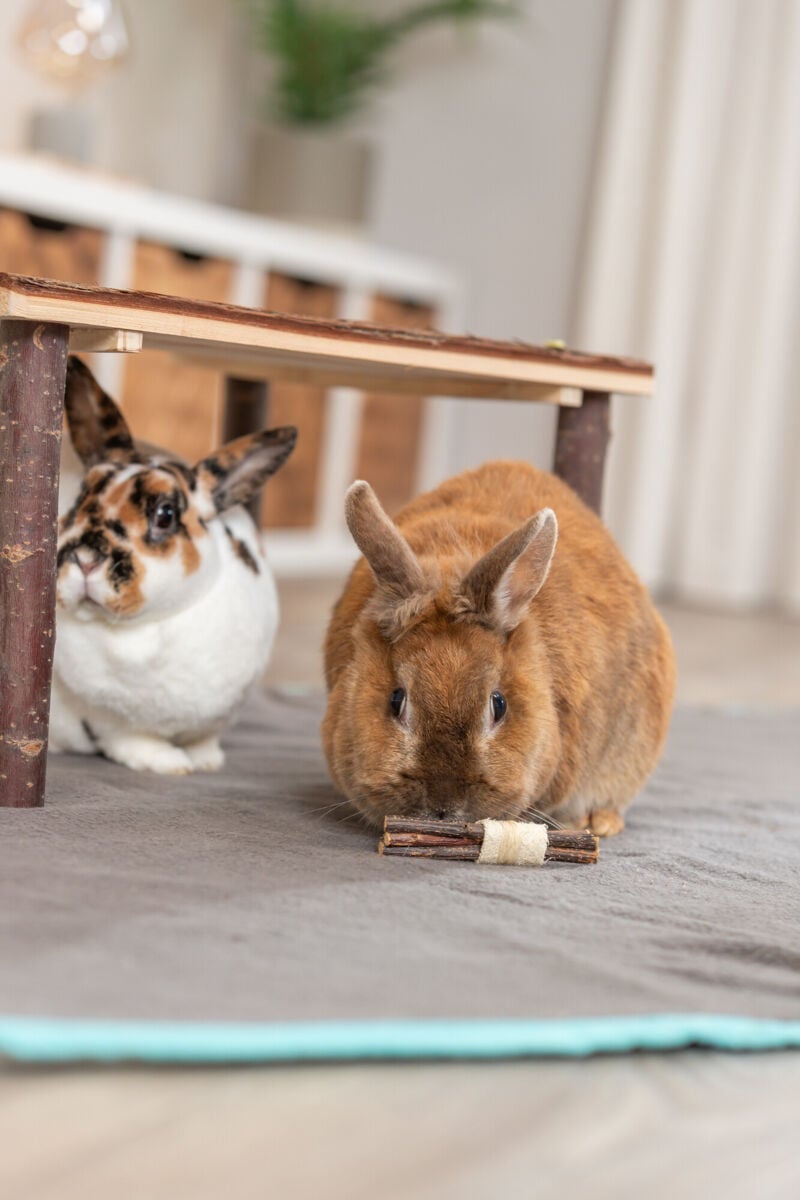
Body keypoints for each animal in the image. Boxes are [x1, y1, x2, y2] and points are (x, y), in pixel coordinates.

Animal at [52, 350, 297, 772]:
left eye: (165, 515)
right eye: (82, 496)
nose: (84, 559)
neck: (148, 628)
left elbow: (205, 739)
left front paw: (208, 762)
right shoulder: (109, 720)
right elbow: (130, 740)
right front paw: (171, 765)